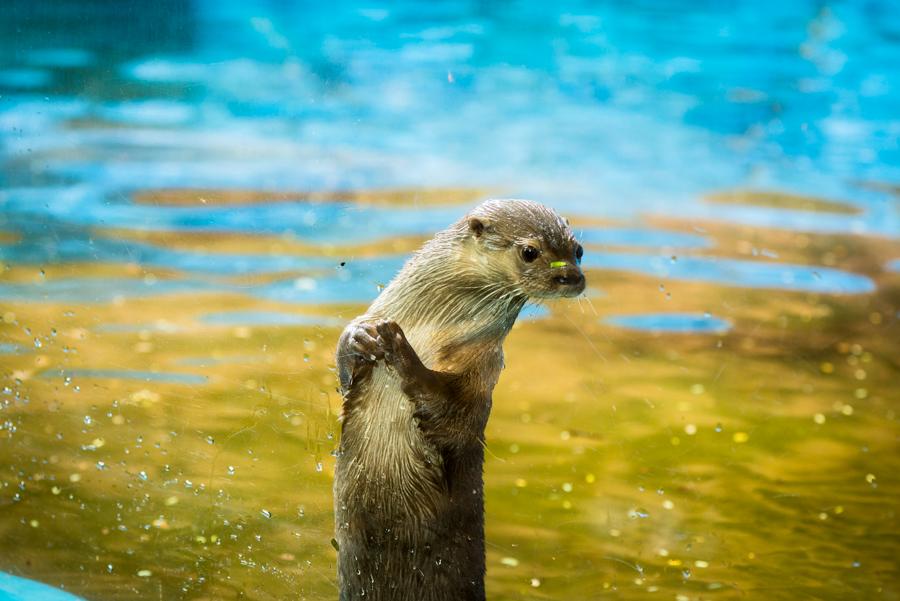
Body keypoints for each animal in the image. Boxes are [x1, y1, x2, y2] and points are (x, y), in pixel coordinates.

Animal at [334, 199, 588, 596]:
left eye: (578, 251)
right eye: (530, 252)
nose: (572, 278)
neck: (429, 326)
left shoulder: (482, 368)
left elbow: (453, 412)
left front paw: (399, 348)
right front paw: (358, 336)